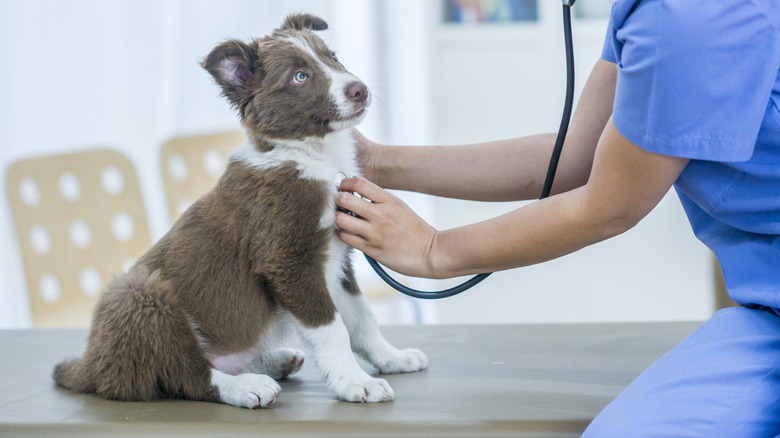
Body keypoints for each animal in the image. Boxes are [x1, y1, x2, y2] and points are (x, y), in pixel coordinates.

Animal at [53, 14, 426, 410]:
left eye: (333, 57)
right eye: (300, 76)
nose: (360, 90)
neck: (313, 156)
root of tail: (93, 365)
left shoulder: (336, 261)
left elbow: (362, 317)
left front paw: (392, 357)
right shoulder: (288, 260)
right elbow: (332, 329)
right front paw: (355, 382)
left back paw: (275, 361)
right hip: (142, 296)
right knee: (188, 374)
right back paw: (246, 386)